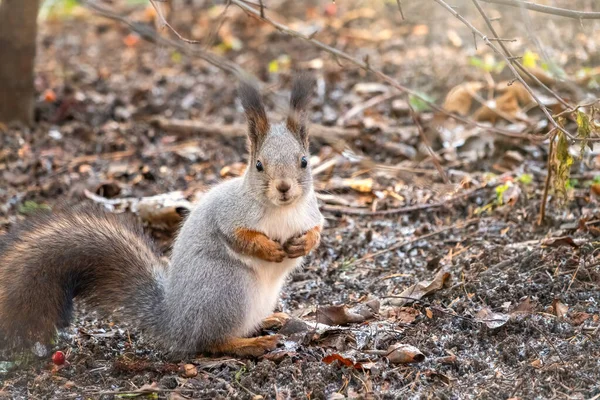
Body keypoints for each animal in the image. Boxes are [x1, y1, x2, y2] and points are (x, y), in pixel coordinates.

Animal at [0, 74, 324, 356]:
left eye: (304, 161)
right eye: (258, 165)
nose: (284, 187)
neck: (282, 209)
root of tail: (176, 322)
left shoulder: (311, 213)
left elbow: (317, 232)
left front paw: (303, 244)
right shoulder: (229, 215)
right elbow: (241, 237)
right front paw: (269, 249)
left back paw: (271, 320)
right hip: (227, 289)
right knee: (211, 341)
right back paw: (251, 344)